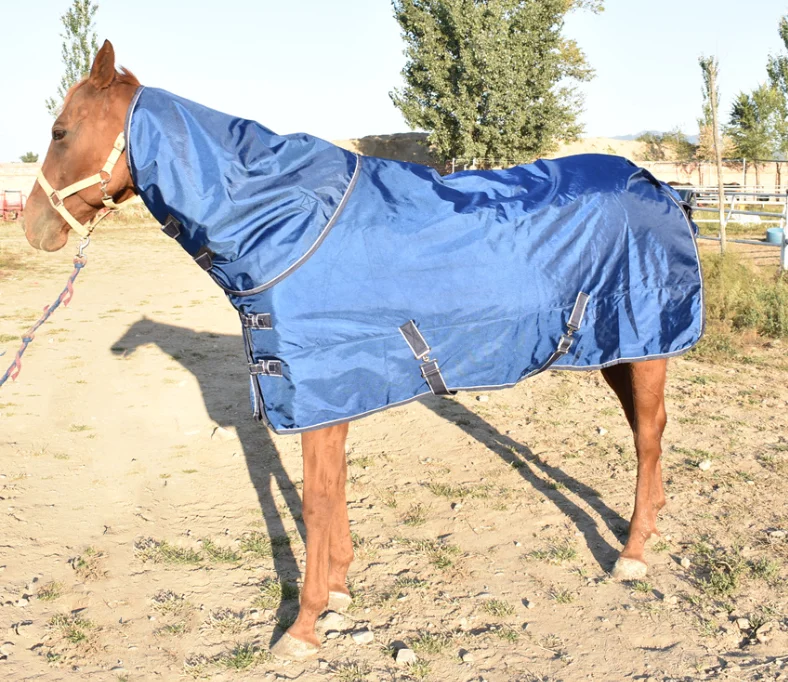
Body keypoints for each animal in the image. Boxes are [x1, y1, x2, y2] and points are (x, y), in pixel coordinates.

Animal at [24, 40, 700, 660]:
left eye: (60, 131)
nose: (33, 226)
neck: (286, 224)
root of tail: (657, 183)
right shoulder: (333, 395)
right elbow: (333, 494)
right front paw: (339, 594)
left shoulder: (316, 393)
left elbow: (317, 502)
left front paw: (302, 628)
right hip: (616, 349)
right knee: (647, 430)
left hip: (645, 342)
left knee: (648, 436)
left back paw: (632, 555)